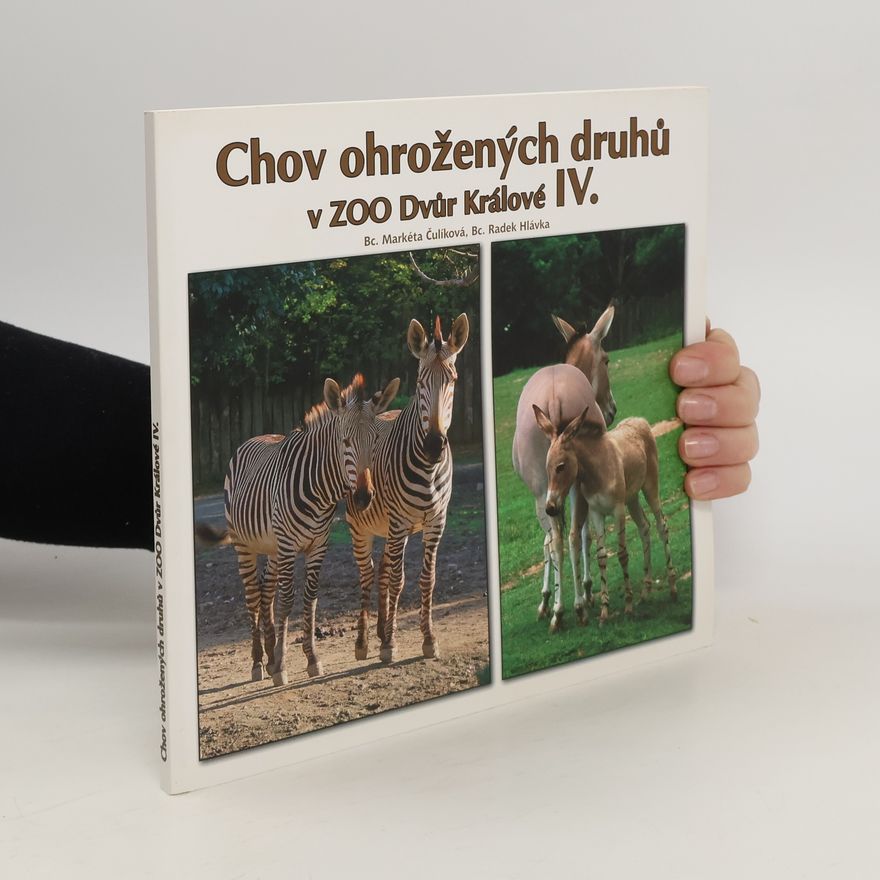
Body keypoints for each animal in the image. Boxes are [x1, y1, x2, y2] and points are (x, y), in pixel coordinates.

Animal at [196, 373, 400, 686]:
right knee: (252, 596)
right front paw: (281, 667)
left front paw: (309, 658)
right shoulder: (289, 546)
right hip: (245, 546)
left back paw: (269, 655)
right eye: (344, 441)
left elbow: (310, 598)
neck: (320, 489)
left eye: (376, 440)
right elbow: (288, 599)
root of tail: (250, 439)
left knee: (266, 591)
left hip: (272, 548)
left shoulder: (318, 545)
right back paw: (258, 662)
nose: (364, 498)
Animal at [347, 314, 469, 664]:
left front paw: (428, 639)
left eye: (453, 380)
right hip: (360, 526)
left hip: (389, 529)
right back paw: (364, 642)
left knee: (383, 568)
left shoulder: (436, 523)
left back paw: (381, 630)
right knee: (368, 574)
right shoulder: (399, 523)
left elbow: (427, 580)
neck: (427, 470)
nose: (434, 446)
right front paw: (389, 645)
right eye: (419, 384)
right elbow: (398, 580)